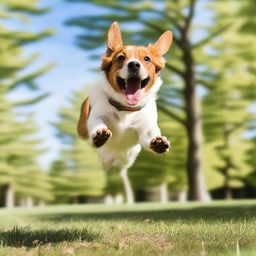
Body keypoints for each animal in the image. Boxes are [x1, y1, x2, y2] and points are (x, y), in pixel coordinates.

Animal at [77, 22, 172, 202]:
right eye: (121, 58)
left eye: (146, 59)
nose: (134, 64)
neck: (125, 108)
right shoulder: (97, 116)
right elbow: (97, 123)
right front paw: (99, 134)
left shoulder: (145, 128)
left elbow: (150, 137)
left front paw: (158, 143)